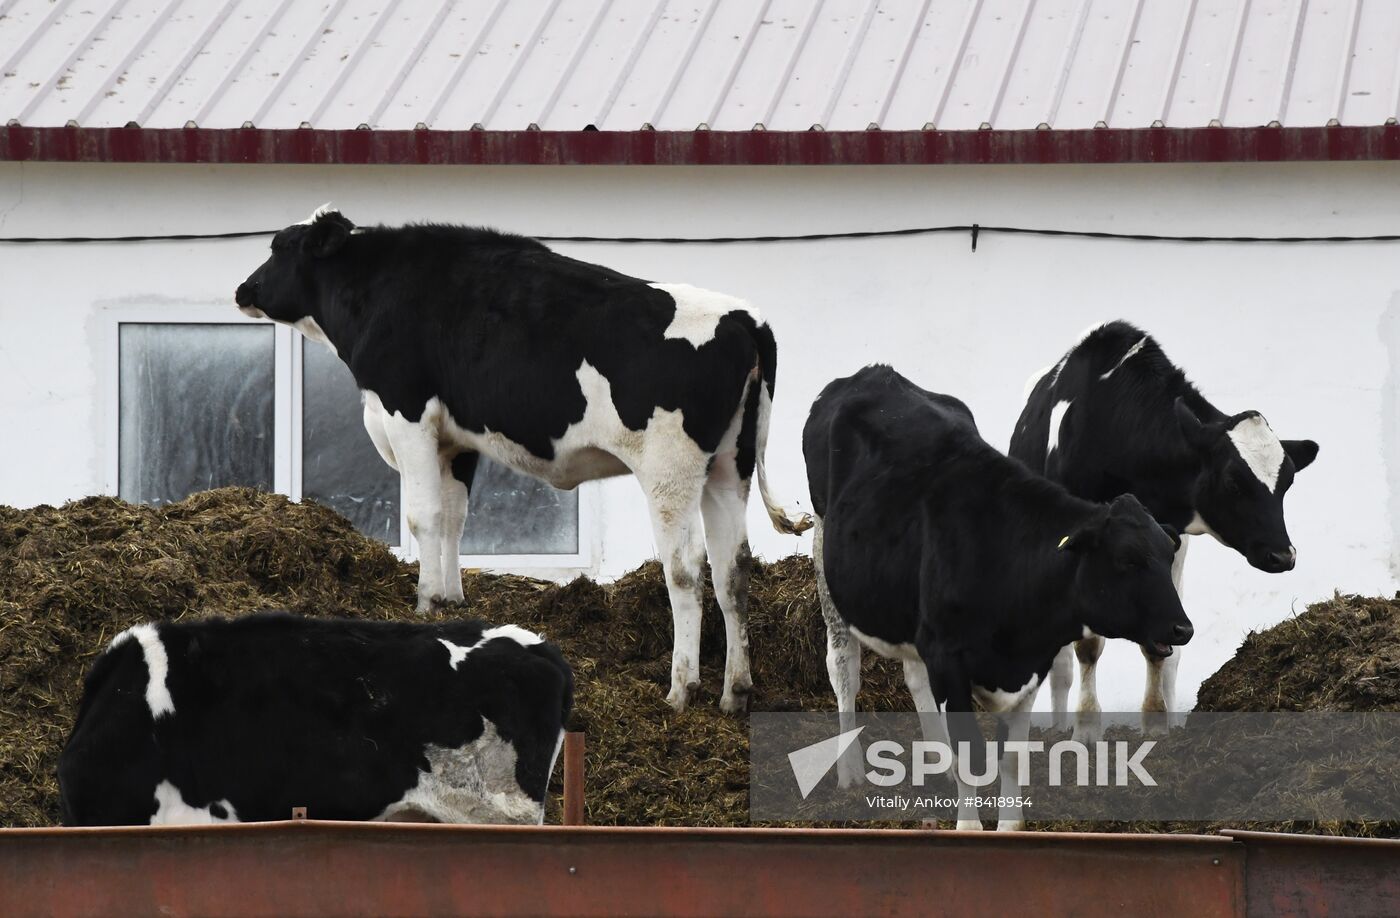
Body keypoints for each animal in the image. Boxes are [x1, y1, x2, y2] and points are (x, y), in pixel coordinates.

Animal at [236, 204, 817, 713]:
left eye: (279, 247)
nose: (244, 290)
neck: (380, 287)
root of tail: (744, 318)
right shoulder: (457, 439)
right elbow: (453, 518)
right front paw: (452, 602)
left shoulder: (407, 412)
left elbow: (424, 517)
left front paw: (425, 604)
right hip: (729, 465)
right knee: (733, 567)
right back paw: (735, 692)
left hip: (670, 469)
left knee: (686, 568)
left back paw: (681, 690)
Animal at [800, 366, 1192, 834]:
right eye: (1126, 560)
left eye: (1168, 554)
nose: (1182, 627)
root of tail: (873, 373)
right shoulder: (949, 658)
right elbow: (971, 754)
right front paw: (970, 828)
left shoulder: (1030, 665)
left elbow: (1011, 759)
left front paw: (1009, 826)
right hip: (826, 552)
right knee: (843, 666)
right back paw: (851, 771)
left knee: (914, 676)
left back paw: (935, 762)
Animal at [1013, 320, 1316, 738]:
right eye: (1233, 481)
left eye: (1287, 482)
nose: (1283, 555)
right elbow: (1087, 646)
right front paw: (1087, 729)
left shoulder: (1168, 547)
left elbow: (1160, 644)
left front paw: (1157, 725)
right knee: (1060, 665)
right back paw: (1057, 726)